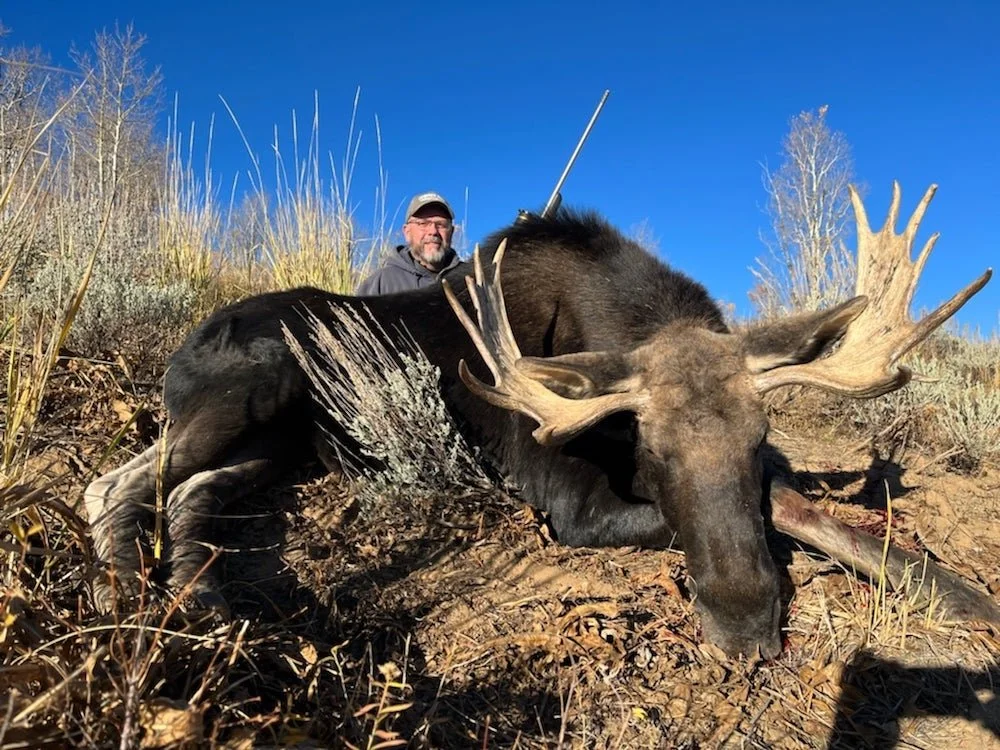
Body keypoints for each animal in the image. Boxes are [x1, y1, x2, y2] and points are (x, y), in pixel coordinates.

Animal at [83, 182, 996, 659]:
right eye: (652, 449)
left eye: (760, 435)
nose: (745, 629)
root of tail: (185, 343)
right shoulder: (566, 498)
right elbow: (758, 511)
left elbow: (802, 505)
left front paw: (958, 594)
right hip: (251, 388)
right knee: (113, 483)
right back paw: (129, 592)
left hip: (280, 447)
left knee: (189, 493)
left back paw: (205, 596)